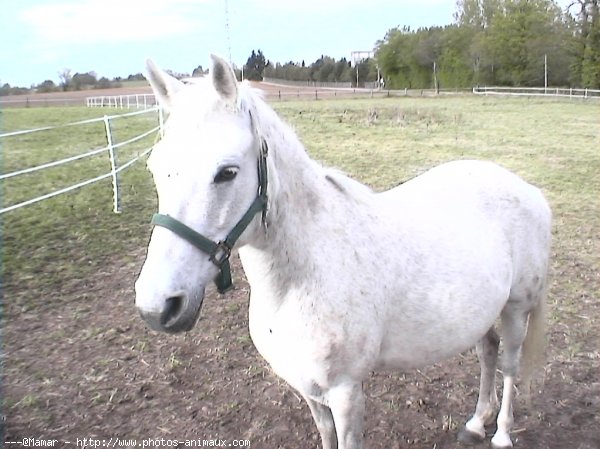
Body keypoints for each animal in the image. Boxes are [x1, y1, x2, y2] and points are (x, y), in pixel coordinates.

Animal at [136, 55, 552, 448]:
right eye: (154, 167)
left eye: (227, 172)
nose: (158, 307)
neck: (304, 276)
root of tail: (529, 189)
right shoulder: (310, 390)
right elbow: (326, 435)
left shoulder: (346, 393)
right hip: (480, 313)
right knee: (488, 351)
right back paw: (475, 423)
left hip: (516, 308)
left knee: (510, 365)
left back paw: (501, 433)